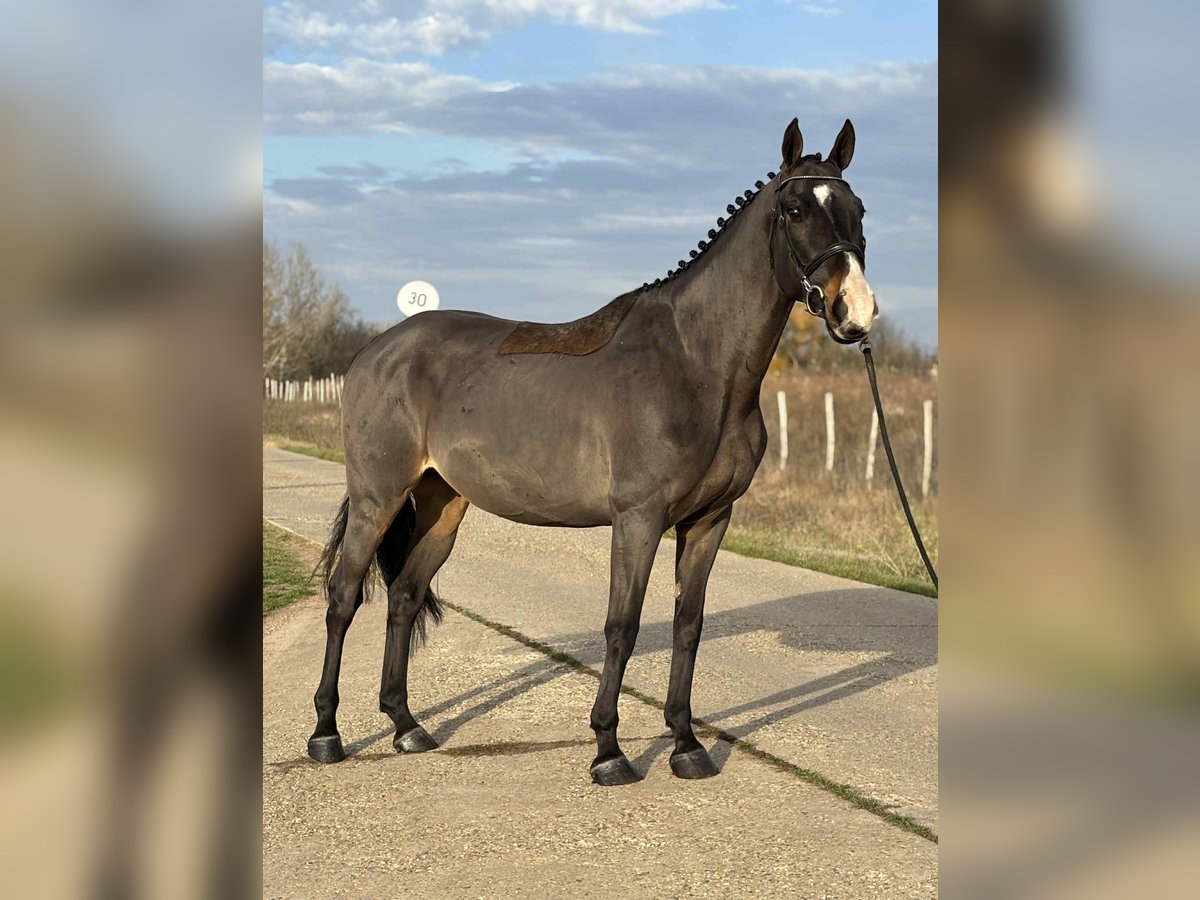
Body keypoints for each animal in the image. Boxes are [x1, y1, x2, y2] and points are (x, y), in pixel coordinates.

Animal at [308, 117, 877, 786]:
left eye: (858, 209)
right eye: (794, 209)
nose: (855, 312)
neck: (695, 363)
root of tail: (375, 351)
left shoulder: (710, 520)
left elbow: (688, 626)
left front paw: (687, 745)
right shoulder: (638, 519)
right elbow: (621, 627)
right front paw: (609, 751)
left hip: (443, 502)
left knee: (403, 595)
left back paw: (406, 726)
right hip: (378, 497)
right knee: (344, 597)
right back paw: (326, 733)